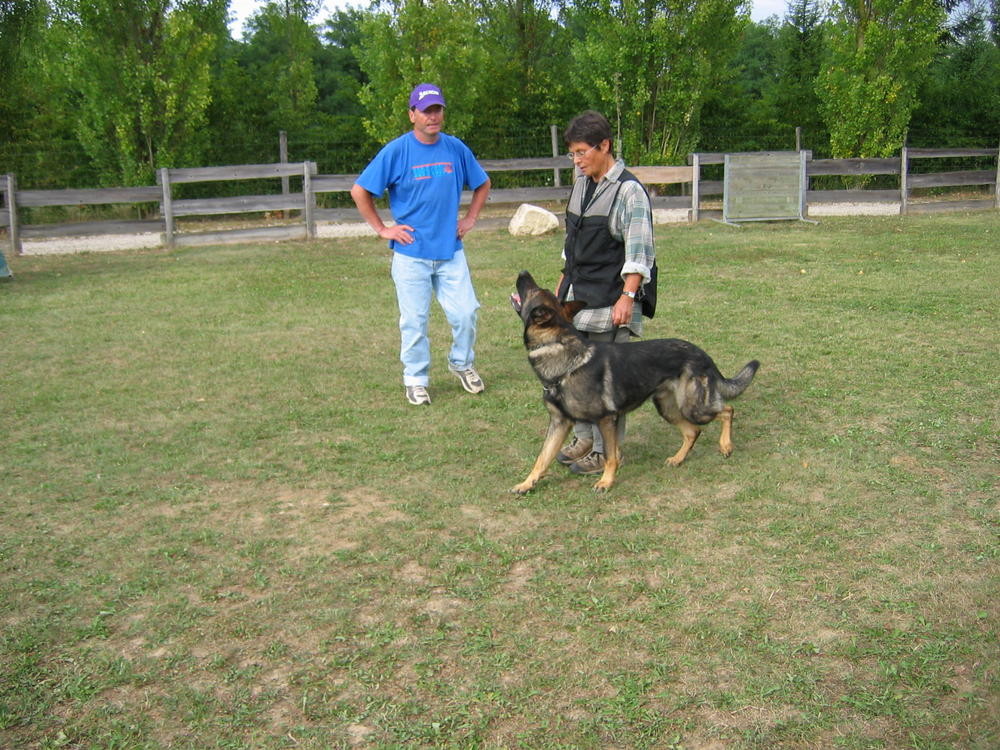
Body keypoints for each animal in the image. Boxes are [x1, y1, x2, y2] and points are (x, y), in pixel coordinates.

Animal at [512, 270, 760, 494]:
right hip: (668, 408)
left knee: (727, 410)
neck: (562, 355)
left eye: (534, 290)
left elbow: (610, 456)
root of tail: (703, 354)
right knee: (693, 432)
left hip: (694, 407)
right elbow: (542, 457)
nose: (523, 272)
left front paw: (606, 482)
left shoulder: (606, 420)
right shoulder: (560, 423)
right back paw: (678, 459)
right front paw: (527, 484)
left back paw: (726, 445)